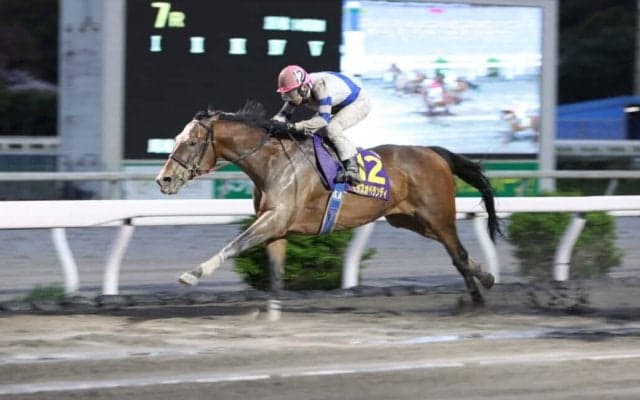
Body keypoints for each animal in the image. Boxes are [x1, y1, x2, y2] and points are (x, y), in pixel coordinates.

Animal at [155, 100, 503, 307]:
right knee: (459, 253)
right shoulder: (276, 228)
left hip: (438, 216)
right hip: (413, 220)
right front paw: (272, 309)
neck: (273, 161)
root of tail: (433, 152)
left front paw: (192, 275)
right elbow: (275, 272)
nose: (164, 179)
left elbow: (234, 244)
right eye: (176, 140)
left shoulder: (275, 218)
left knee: (458, 255)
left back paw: (476, 298)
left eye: (192, 142)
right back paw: (486, 278)